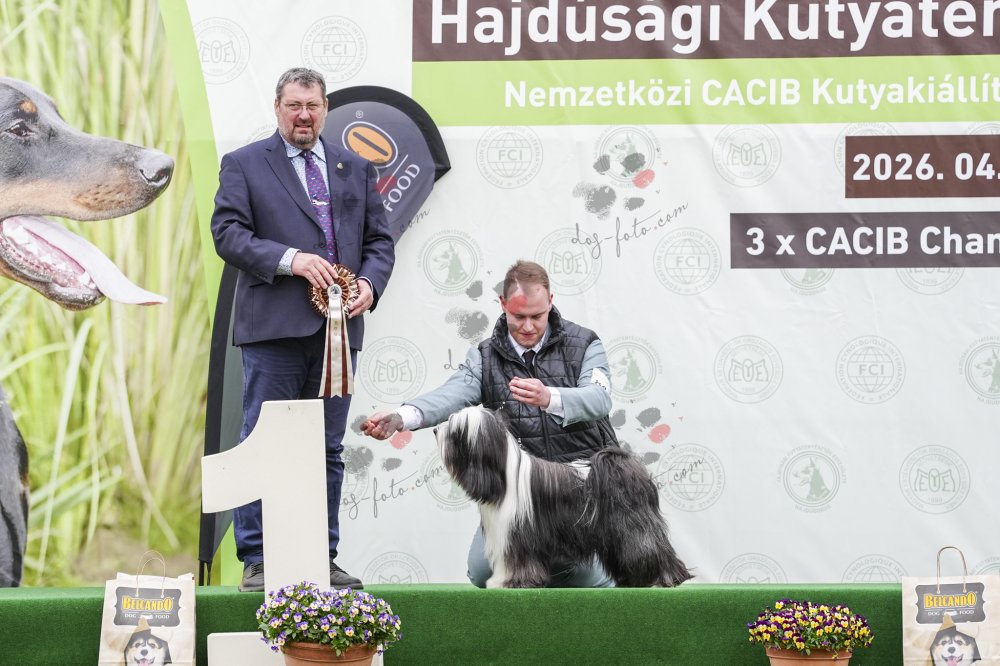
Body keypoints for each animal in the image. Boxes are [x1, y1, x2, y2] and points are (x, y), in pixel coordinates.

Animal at [434, 405, 693, 588]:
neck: (503, 475)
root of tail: (624, 464)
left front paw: (508, 582)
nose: (436, 430)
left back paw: (665, 577)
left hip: (633, 528)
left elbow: (516, 561)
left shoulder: (516, 535)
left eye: (455, 431)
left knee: (650, 547)